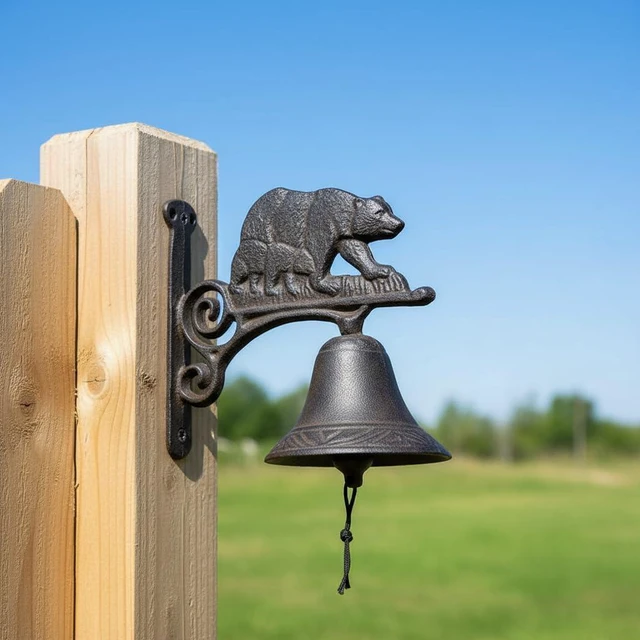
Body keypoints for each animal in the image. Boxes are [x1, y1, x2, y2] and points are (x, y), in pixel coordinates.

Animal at [229, 187, 405, 296]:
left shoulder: (345, 234)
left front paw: (382, 270)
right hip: (261, 231)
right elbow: (319, 254)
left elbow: (357, 250)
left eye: (390, 210)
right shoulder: (321, 224)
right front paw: (328, 284)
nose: (399, 223)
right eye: (379, 212)